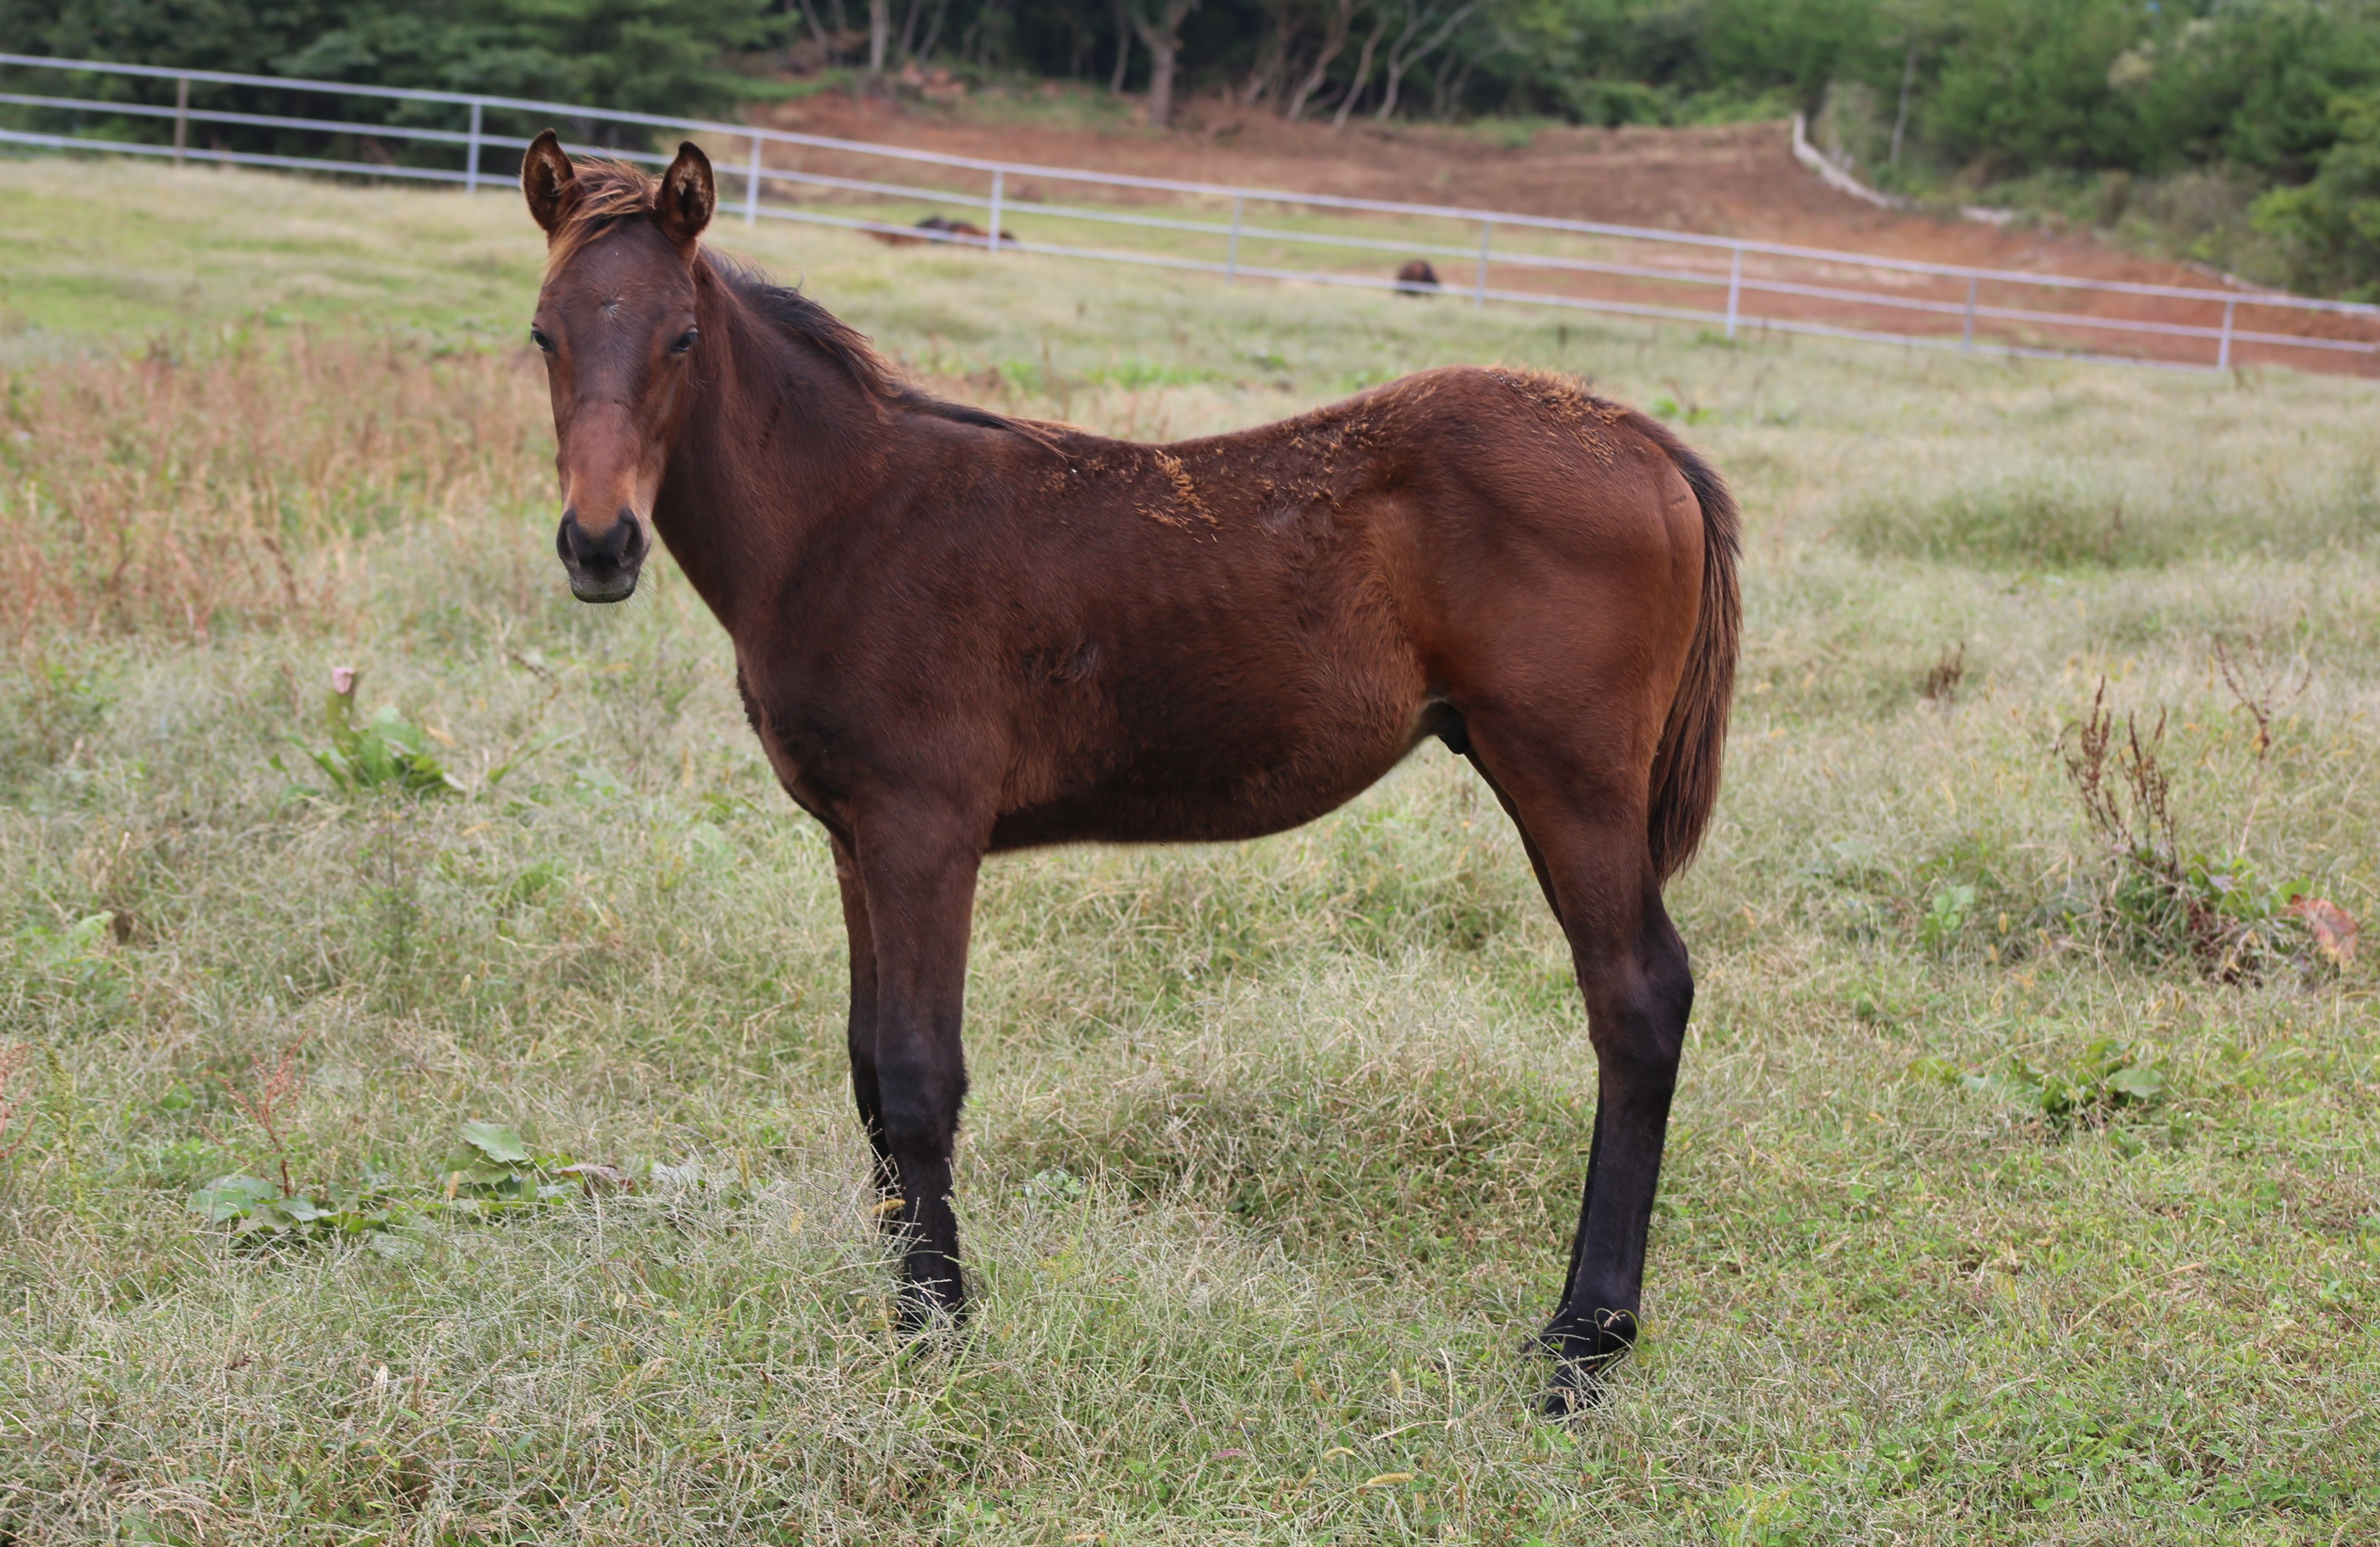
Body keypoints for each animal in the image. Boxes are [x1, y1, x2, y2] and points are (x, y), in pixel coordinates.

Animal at [521, 135, 1742, 1409]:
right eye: (543, 334)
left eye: (681, 339)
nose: (599, 547)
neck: (842, 521)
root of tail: (1644, 440)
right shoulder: (852, 838)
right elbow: (864, 1075)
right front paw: (897, 1306)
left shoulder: (924, 831)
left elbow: (916, 1078)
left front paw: (937, 1329)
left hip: (1566, 778)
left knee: (1635, 999)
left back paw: (1581, 1342)